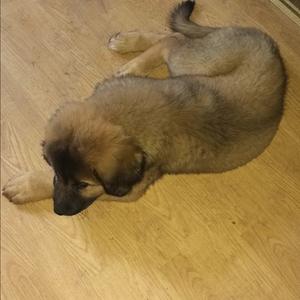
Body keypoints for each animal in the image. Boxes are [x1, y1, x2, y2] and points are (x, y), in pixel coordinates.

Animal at [2, 0, 288, 216]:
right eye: (57, 172)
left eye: (83, 184)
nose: (59, 211)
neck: (119, 118)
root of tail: (268, 42)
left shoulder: (128, 189)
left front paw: (26, 186)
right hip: (195, 61)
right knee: (173, 37)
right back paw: (128, 47)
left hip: (193, 63)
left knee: (173, 40)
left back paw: (132, 62)